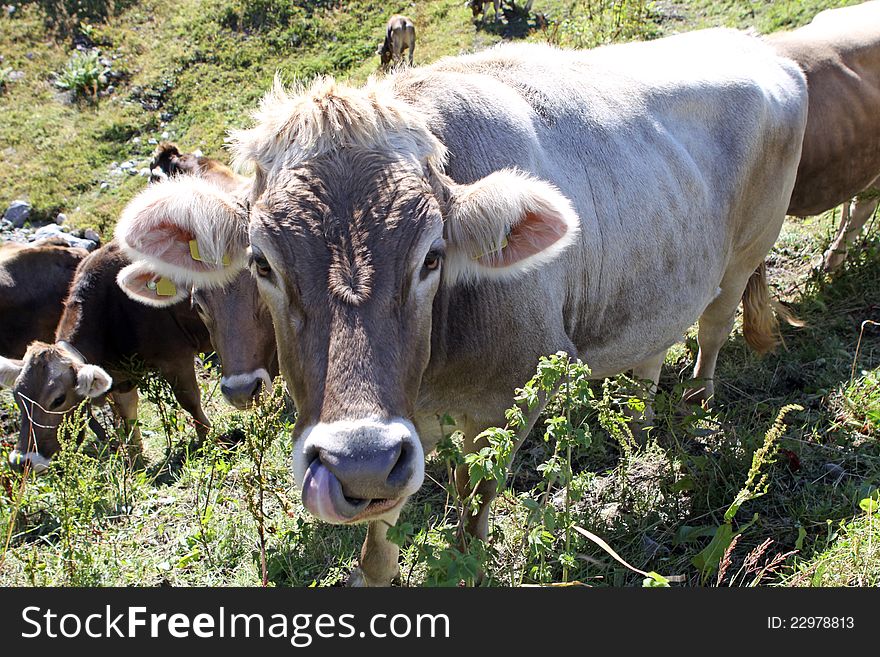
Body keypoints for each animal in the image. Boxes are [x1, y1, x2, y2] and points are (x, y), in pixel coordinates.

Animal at [0, 241, 213, 472]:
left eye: (58, 400)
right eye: (17, 397)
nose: (21, 461)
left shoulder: (174, 356)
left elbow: (189, 400)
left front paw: (206, 440)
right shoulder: (120, 378)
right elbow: (127, 418)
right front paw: (135, 463)